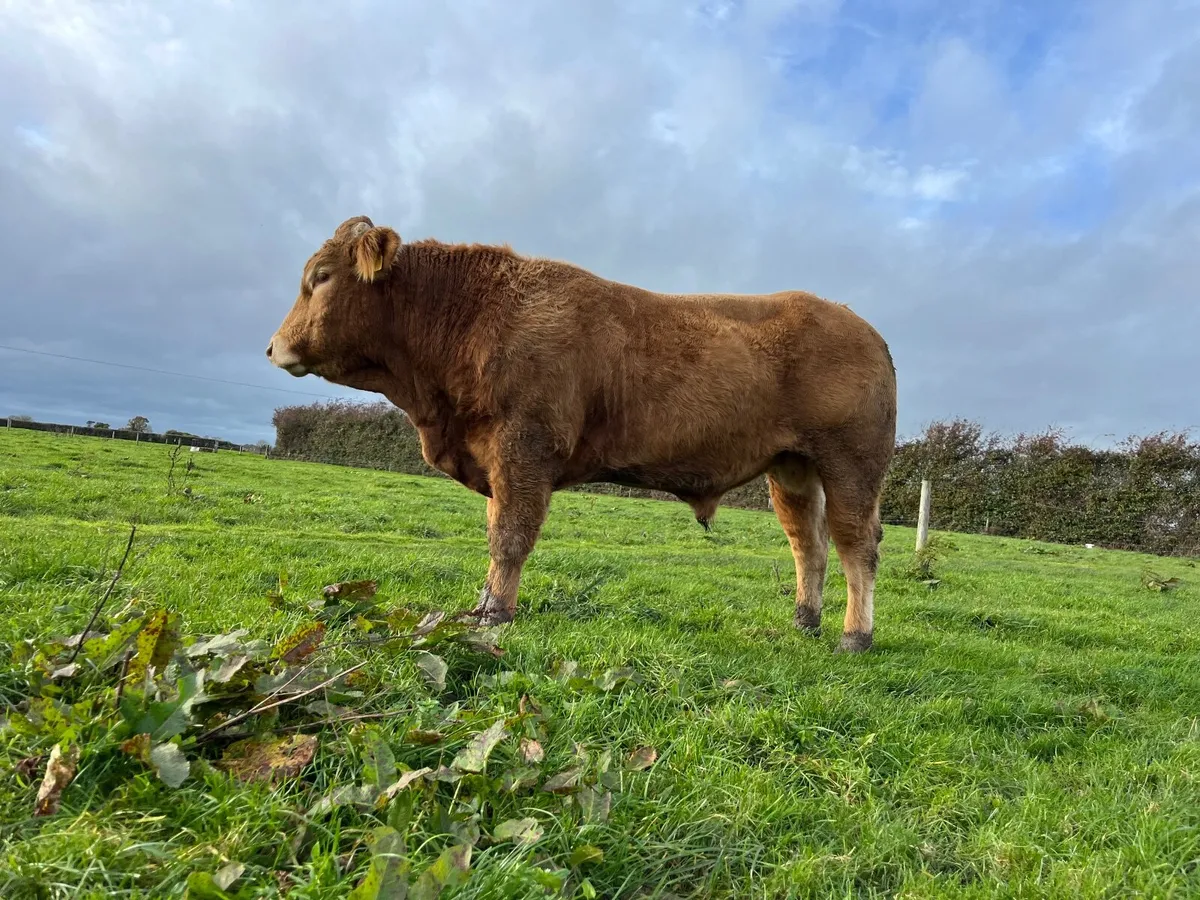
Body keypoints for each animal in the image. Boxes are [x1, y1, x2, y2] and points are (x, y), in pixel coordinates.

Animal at [267, 216, 897, 652]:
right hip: (791, 469)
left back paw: (854, 637)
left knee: (855, 545)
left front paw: (496, 614)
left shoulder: (523, 449)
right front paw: (481, 605)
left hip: (852, 464)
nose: (273, 347)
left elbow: (509, 538)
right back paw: (804, 623)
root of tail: (861, 325)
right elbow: (496, 533)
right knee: (808, 545)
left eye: (320, 278)